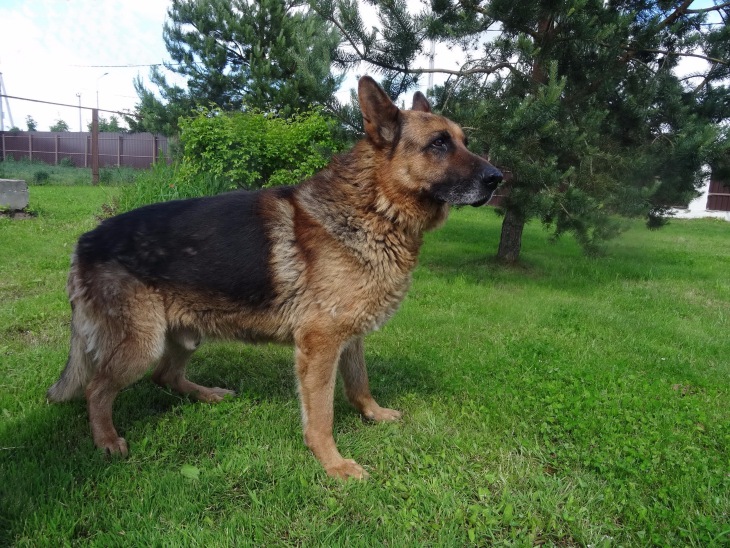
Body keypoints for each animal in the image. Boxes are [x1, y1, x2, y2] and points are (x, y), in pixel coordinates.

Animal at [47, 76, 502, 479]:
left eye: (463, 140)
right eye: (439, 144)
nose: (499, 178)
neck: (376, 207)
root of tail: (84, 241)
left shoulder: (350, 336)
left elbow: (360, 383)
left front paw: (372, 414)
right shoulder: (319, 346)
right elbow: (322, 414)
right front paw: (332, 463)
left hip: (185, 333)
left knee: (165, 376)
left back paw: (207, 395)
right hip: (142, 344)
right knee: (97, 389)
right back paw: (107, 440)